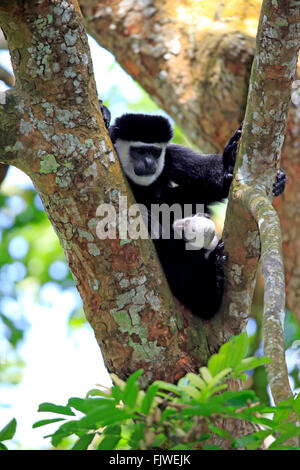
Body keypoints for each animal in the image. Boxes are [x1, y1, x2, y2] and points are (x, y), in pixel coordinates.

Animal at [99, 101, 288, 318]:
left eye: (154, 152)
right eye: (139, 151)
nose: (149, 163)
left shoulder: (172, 155)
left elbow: (206, 176)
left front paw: (235, 160)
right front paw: (103, 112)